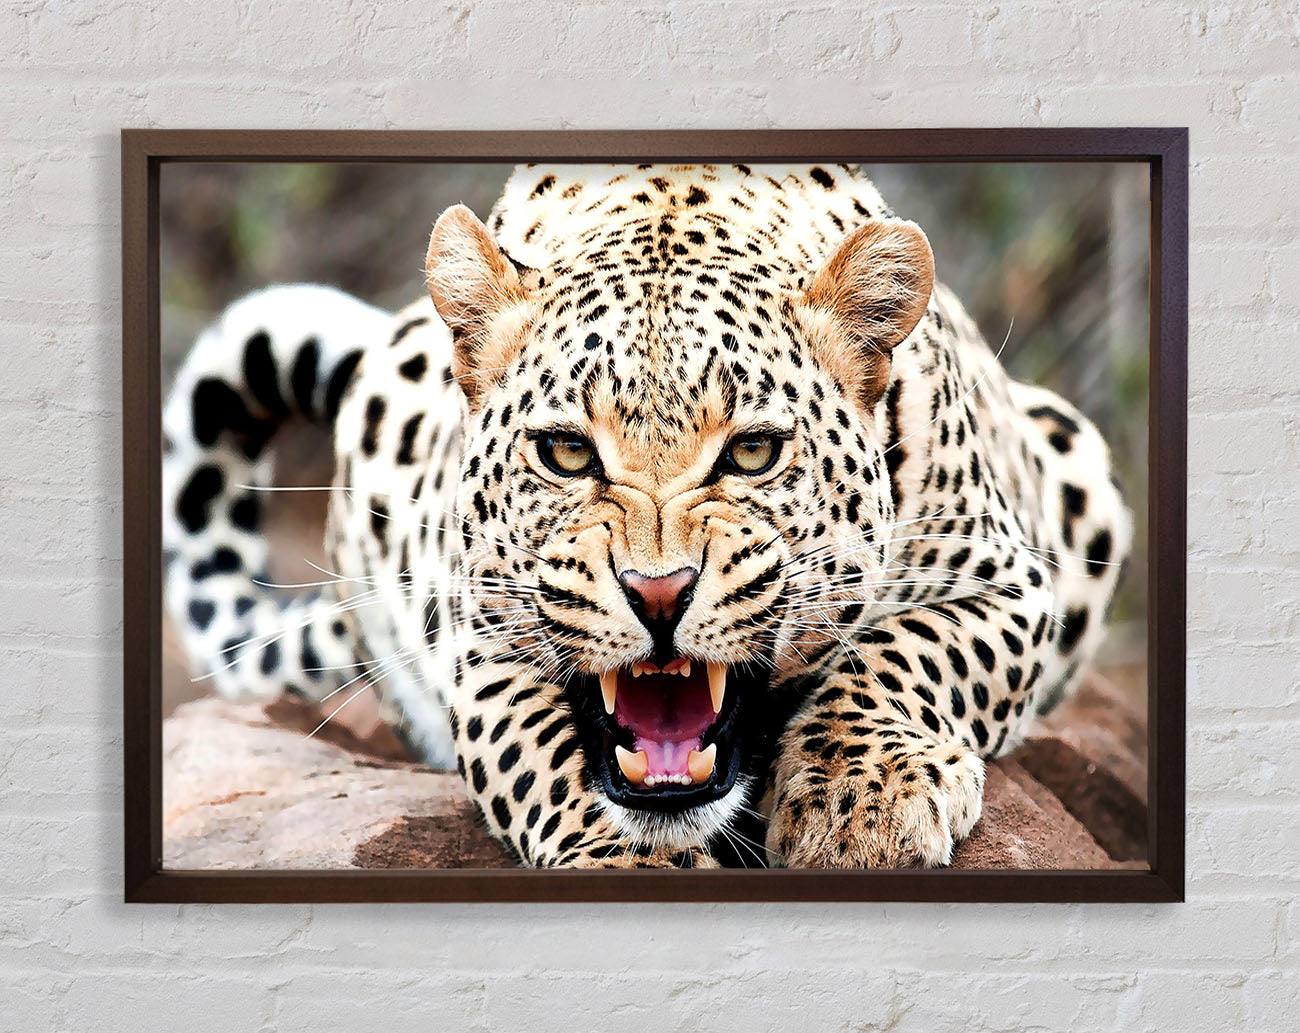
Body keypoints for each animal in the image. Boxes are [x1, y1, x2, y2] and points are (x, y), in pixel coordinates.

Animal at [162, 163, 1131, 868]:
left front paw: (863, 800)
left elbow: (907, 653)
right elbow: (548, 761)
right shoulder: (483, 643)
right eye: (566, 453)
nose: (658, 593)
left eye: (752, 452)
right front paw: (626, 858)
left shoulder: (1010, 581)